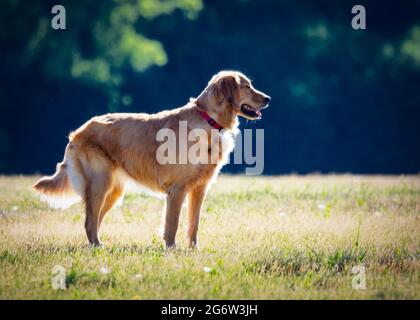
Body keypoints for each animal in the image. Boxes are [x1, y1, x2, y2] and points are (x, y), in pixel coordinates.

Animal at [32, 71, 270, 249]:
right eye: (247, 86)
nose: (268, 99)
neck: (208, 120)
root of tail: (79, 131)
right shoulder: (177, 189)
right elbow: (172, 224)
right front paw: (172, 250)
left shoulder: (200, 188)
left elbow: (193, 224)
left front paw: (194, 251)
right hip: (100, 182)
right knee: (90, 221)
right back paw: (98, 247)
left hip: (113, 191)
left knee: (95, 220)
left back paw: (97, 246)